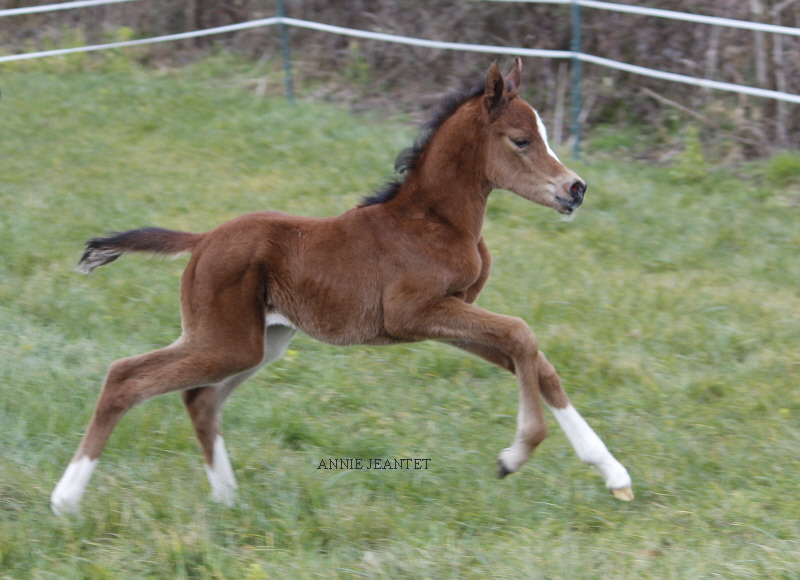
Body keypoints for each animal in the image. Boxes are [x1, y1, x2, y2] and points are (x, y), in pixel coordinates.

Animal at [53, 57, 636, 512]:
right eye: (521, 140)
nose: (576, 189)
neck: (434, 220)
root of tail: (204, 239)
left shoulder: (449, 316)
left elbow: (534, 361)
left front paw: (614, 474)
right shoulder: (416, 314)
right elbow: (521, 334)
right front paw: (514, 456)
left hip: (260, 342)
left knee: (199, 400)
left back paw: (228, 500)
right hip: (224, 340)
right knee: (126, 378)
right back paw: (65, 500)